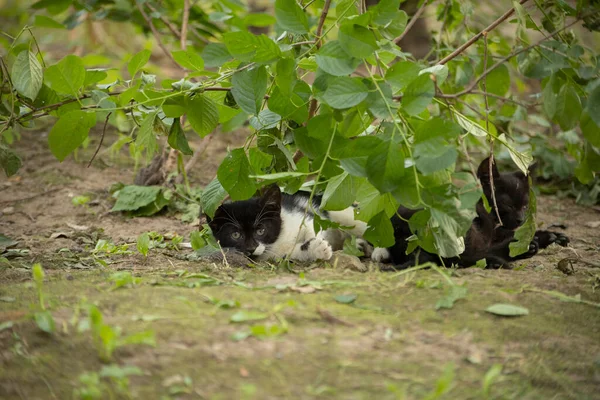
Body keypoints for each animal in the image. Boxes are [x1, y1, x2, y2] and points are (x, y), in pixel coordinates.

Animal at [206, 185, 368, 262]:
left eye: (261, 231)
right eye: (235, 235)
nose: (251, 249)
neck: (279, 239)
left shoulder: (302, 213)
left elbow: (312, 226)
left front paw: (317, 241)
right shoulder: (274, 255)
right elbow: (293, 253)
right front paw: (317, 248)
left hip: (341, 212)